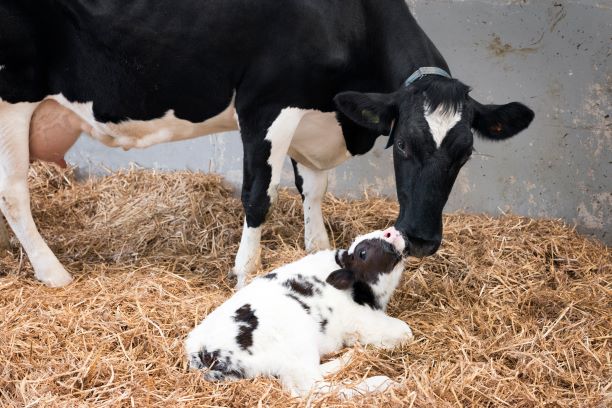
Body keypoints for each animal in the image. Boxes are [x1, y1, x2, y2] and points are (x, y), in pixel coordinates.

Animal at [0, 0, 536, 286]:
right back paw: (53, 273)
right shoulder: (266, 104)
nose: (422, 239)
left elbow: (314, 193)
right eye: (402, 145)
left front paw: (319, 252)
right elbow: (259, 196)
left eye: (465, 153)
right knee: (14, 193)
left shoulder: (315, 117)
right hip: (11, 98)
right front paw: (245, 273)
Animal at [184, 230, 414, 398]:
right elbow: (404, 332)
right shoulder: (362, 320)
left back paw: (350, 357)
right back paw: (381, 382)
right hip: (297, 348)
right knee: (312, 388)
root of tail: (201, 353)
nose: (391, 232)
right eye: (362, 253)